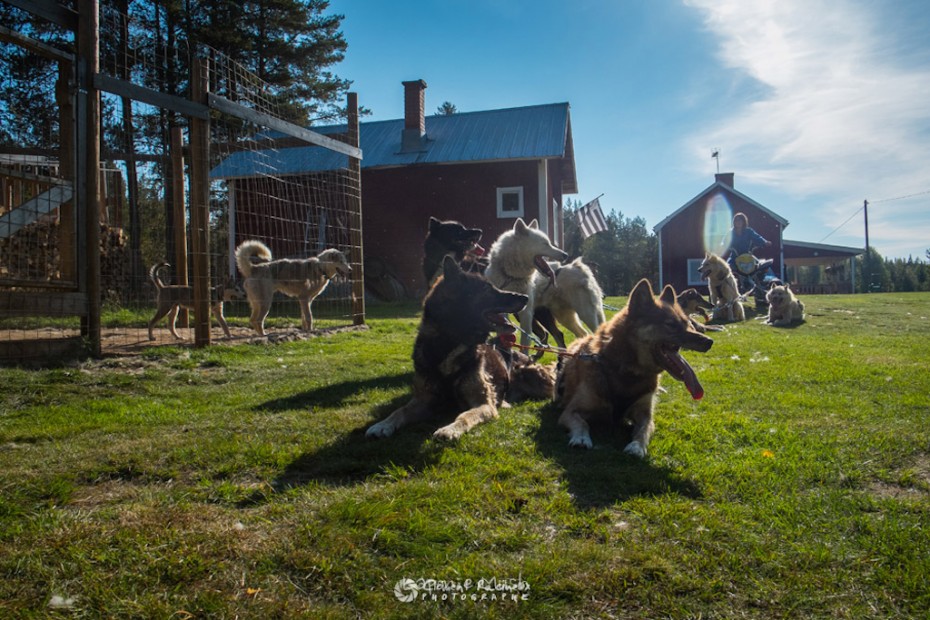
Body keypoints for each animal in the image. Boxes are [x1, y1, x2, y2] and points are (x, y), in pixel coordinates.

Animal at [364, 256, 556, 440]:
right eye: (486, 290)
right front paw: (382, 425)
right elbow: (400, 411)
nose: (526, 298)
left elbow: (464, 416)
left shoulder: (484, 404)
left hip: (536, 378)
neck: (451, 343)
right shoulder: (423, 400)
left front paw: (449, 429)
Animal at [486, 218, 564, 346]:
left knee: (557, 334)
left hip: (542, 315)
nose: (565, 255)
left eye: (549, 243)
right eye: (545, 244)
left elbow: (524, 342)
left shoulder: (526, 315)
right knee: (544, 334)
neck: (511, 277)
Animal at [556, 278, 716, 458]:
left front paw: (637, 446)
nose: (709, 342)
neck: (627, 372)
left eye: (687, 323)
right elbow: (582, 423)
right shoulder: (570, 412)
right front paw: (581, 438)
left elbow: (643, 431)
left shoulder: (646, 415)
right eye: (670, 325)